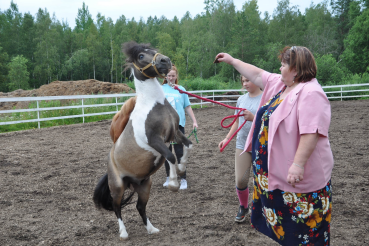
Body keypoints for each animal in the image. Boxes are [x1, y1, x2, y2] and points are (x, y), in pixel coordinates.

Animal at [92, 41, 193, 240]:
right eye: (140, 56)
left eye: (154, 50)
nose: (165, 61)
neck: (155, 105)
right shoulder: (155, 140)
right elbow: (170, 155)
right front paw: (173, 184)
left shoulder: (174, 133)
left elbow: (187, 146)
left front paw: (182, 167)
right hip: (118, 186)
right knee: (116, 207)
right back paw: (123, 234)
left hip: (145, 184)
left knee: (140, 207)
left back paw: (151, 229)